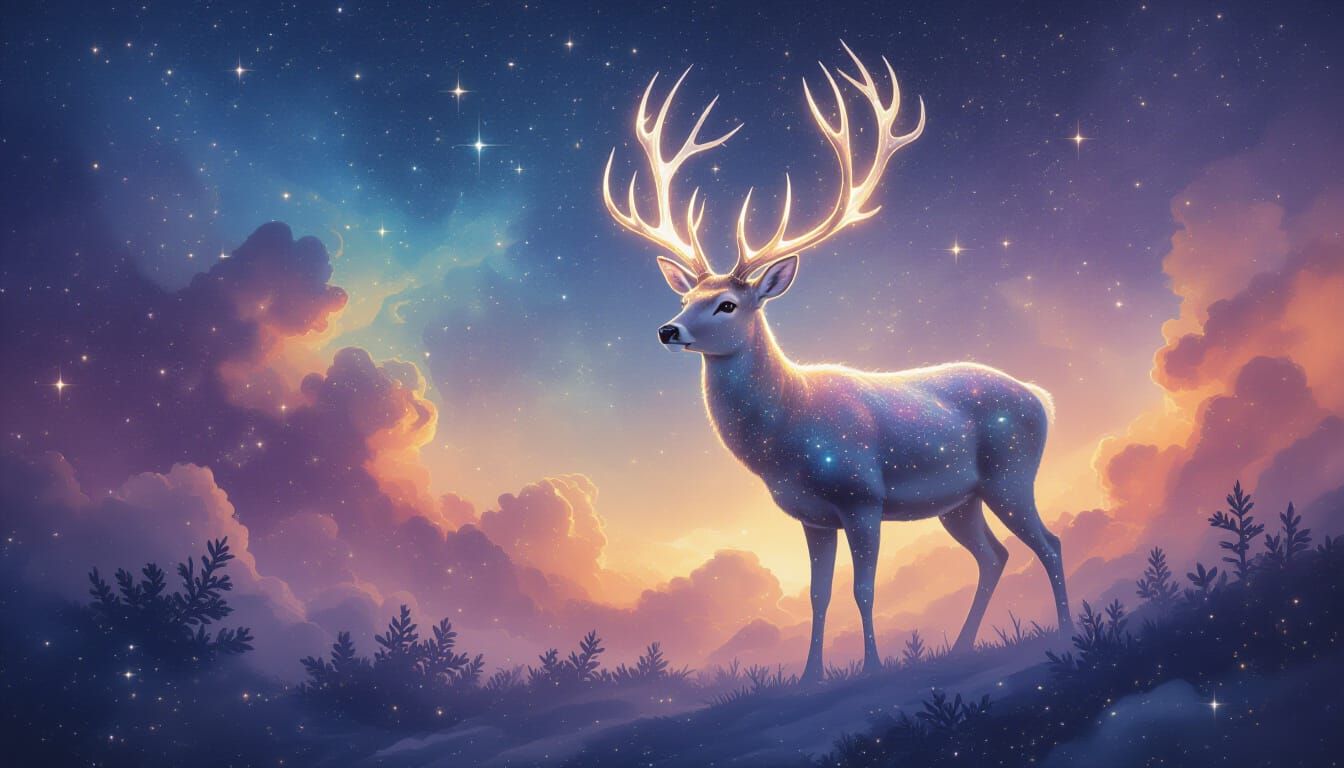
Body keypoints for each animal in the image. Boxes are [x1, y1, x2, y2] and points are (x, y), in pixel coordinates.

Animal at [602, 44, 1071, 682]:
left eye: (727, 303)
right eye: (686, 297)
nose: (667, 329)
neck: (789, 438)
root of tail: (1040, 396)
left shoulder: (863, 497)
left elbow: (864, 590)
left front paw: (871, 669)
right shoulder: (812, 515)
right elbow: (818, 595)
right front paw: (809, 677)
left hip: (1011, 472)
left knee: (1048, 543)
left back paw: (1069, 633)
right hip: (961, 500)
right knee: (994, 556)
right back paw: (961, 647)